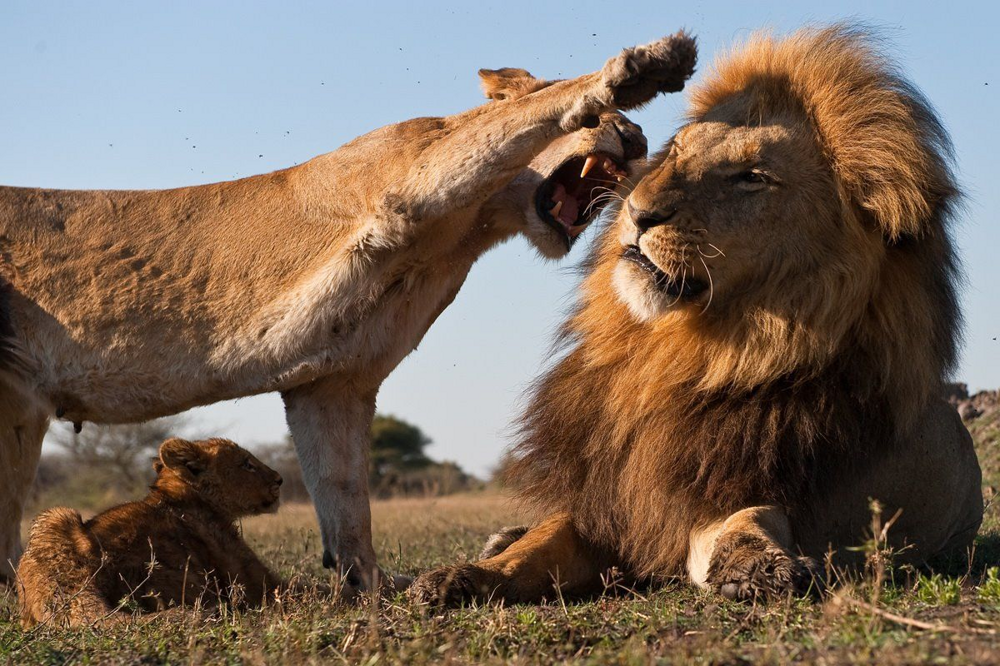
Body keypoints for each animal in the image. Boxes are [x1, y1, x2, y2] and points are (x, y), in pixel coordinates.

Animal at [0, 36, 700, 588]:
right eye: (605, 118)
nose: (637, 137)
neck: (467, 229)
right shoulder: (410, 176)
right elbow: (510, 121)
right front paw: (647, 65)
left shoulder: (333, 381)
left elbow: (345, 499)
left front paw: (369, 590)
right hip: (16, 394)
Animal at [412, 27, 984, 600]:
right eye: (678, 152)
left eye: (751, 177)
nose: (636, 213)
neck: (670, 355)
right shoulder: (609, 503)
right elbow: (544, 538)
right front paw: (459, 577)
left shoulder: (714, 494)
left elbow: (746, 519)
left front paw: (756, 567)